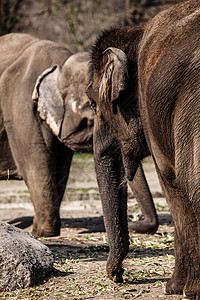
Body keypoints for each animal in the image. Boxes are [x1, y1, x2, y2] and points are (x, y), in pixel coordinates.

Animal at [0, 32, 158, 238]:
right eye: (92, 112)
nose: (133, 221)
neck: (59, 65)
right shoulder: (19, 104)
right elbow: (35, 166)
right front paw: (41, 233)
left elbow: (60, 170)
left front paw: (43, 231)